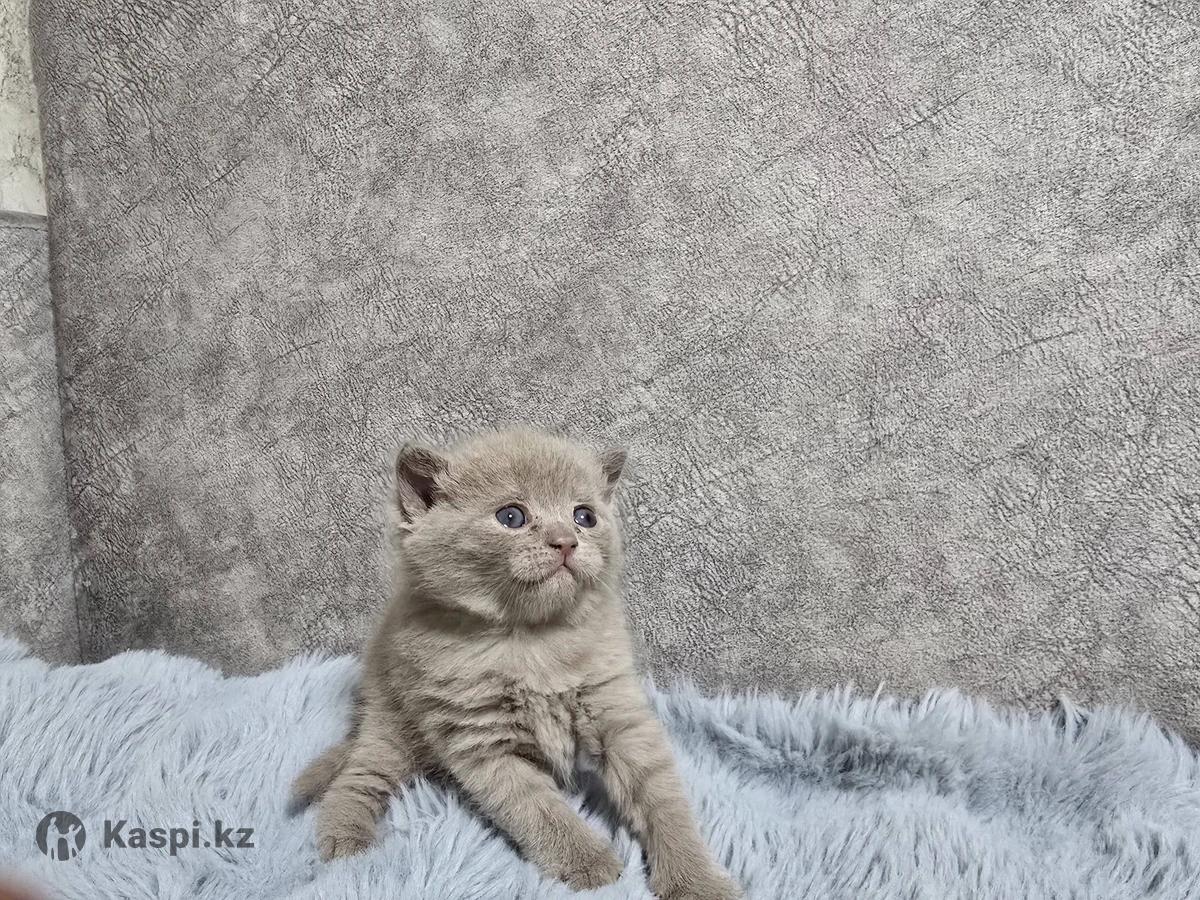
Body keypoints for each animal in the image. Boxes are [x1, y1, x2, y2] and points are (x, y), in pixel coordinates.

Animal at [291, 429, 740, 899]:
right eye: (511, 516)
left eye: (584, 516)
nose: (566, 540)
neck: (533, 640)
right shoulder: (482, 739)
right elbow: (539, 809)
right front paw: (588, 862)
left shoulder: (617, 710)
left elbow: (661, 796)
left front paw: (695, 877)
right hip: (390, 722)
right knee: (359, 775)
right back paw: (346, 840)